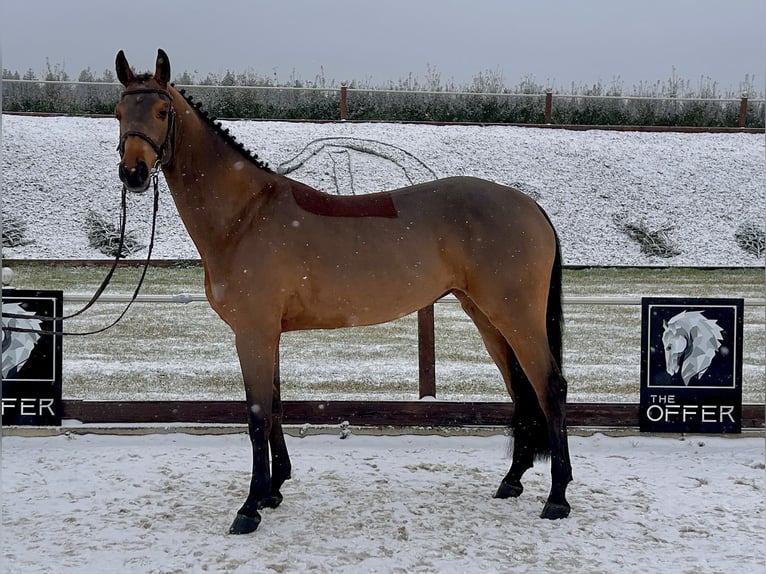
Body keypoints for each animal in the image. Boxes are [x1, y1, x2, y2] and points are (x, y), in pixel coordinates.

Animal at [114, 49, 573, 534]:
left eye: (162, 112)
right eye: (119, 112)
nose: (133, 173)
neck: (246, 215)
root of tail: (529, 205)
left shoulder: (253, 333)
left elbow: (257, 415)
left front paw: (250, 506)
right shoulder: (267, 334)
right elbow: (276, 407)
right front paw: (274, 490)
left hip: (515, 316)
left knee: (549, 387)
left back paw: (557, 497)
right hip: (488, 318)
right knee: (521, 391)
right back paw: (512, 481)